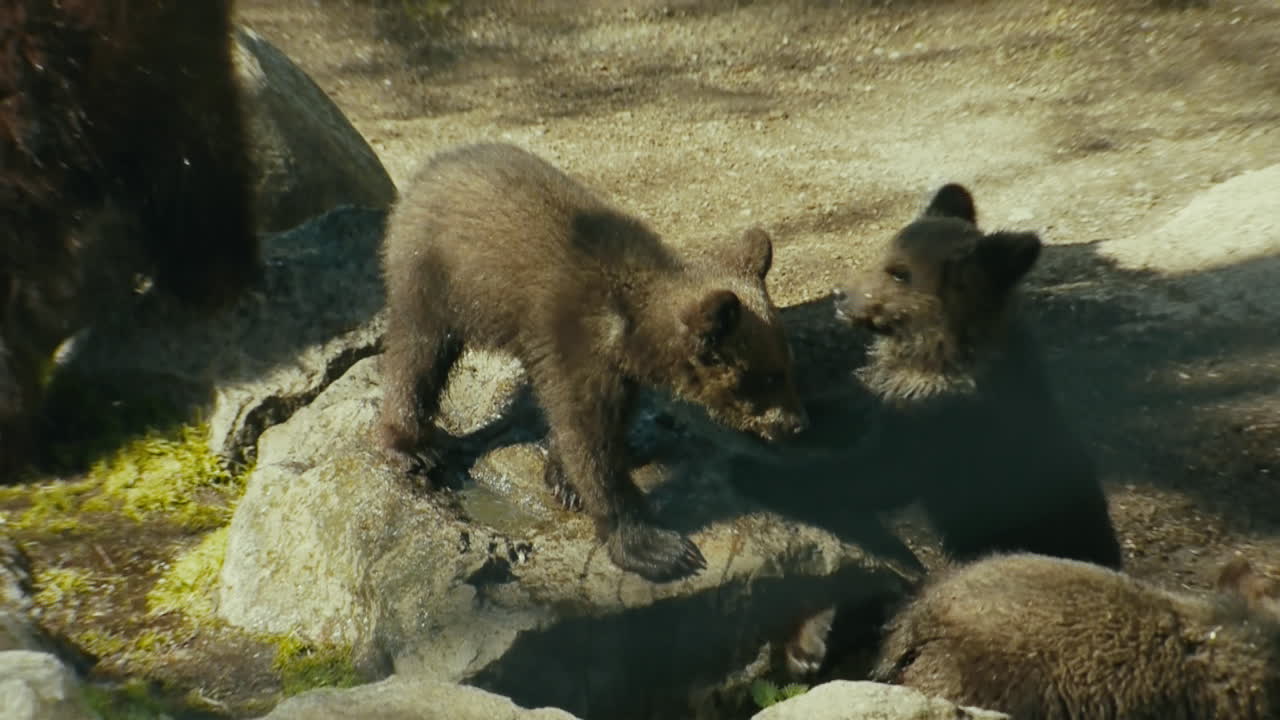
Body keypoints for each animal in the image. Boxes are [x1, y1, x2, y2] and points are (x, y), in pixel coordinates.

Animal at [378, 142, 808, 582]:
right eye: (768, 377)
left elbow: (596, 424)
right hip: (435, 278)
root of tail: (430, 168)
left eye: (787, 366)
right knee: (417, 355)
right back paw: (410, 446)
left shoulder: (612, 368)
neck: (627, 327)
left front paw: (564, 481)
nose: (797, 423)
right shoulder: (575, 344)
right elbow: (589, 441)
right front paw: (657, 547)